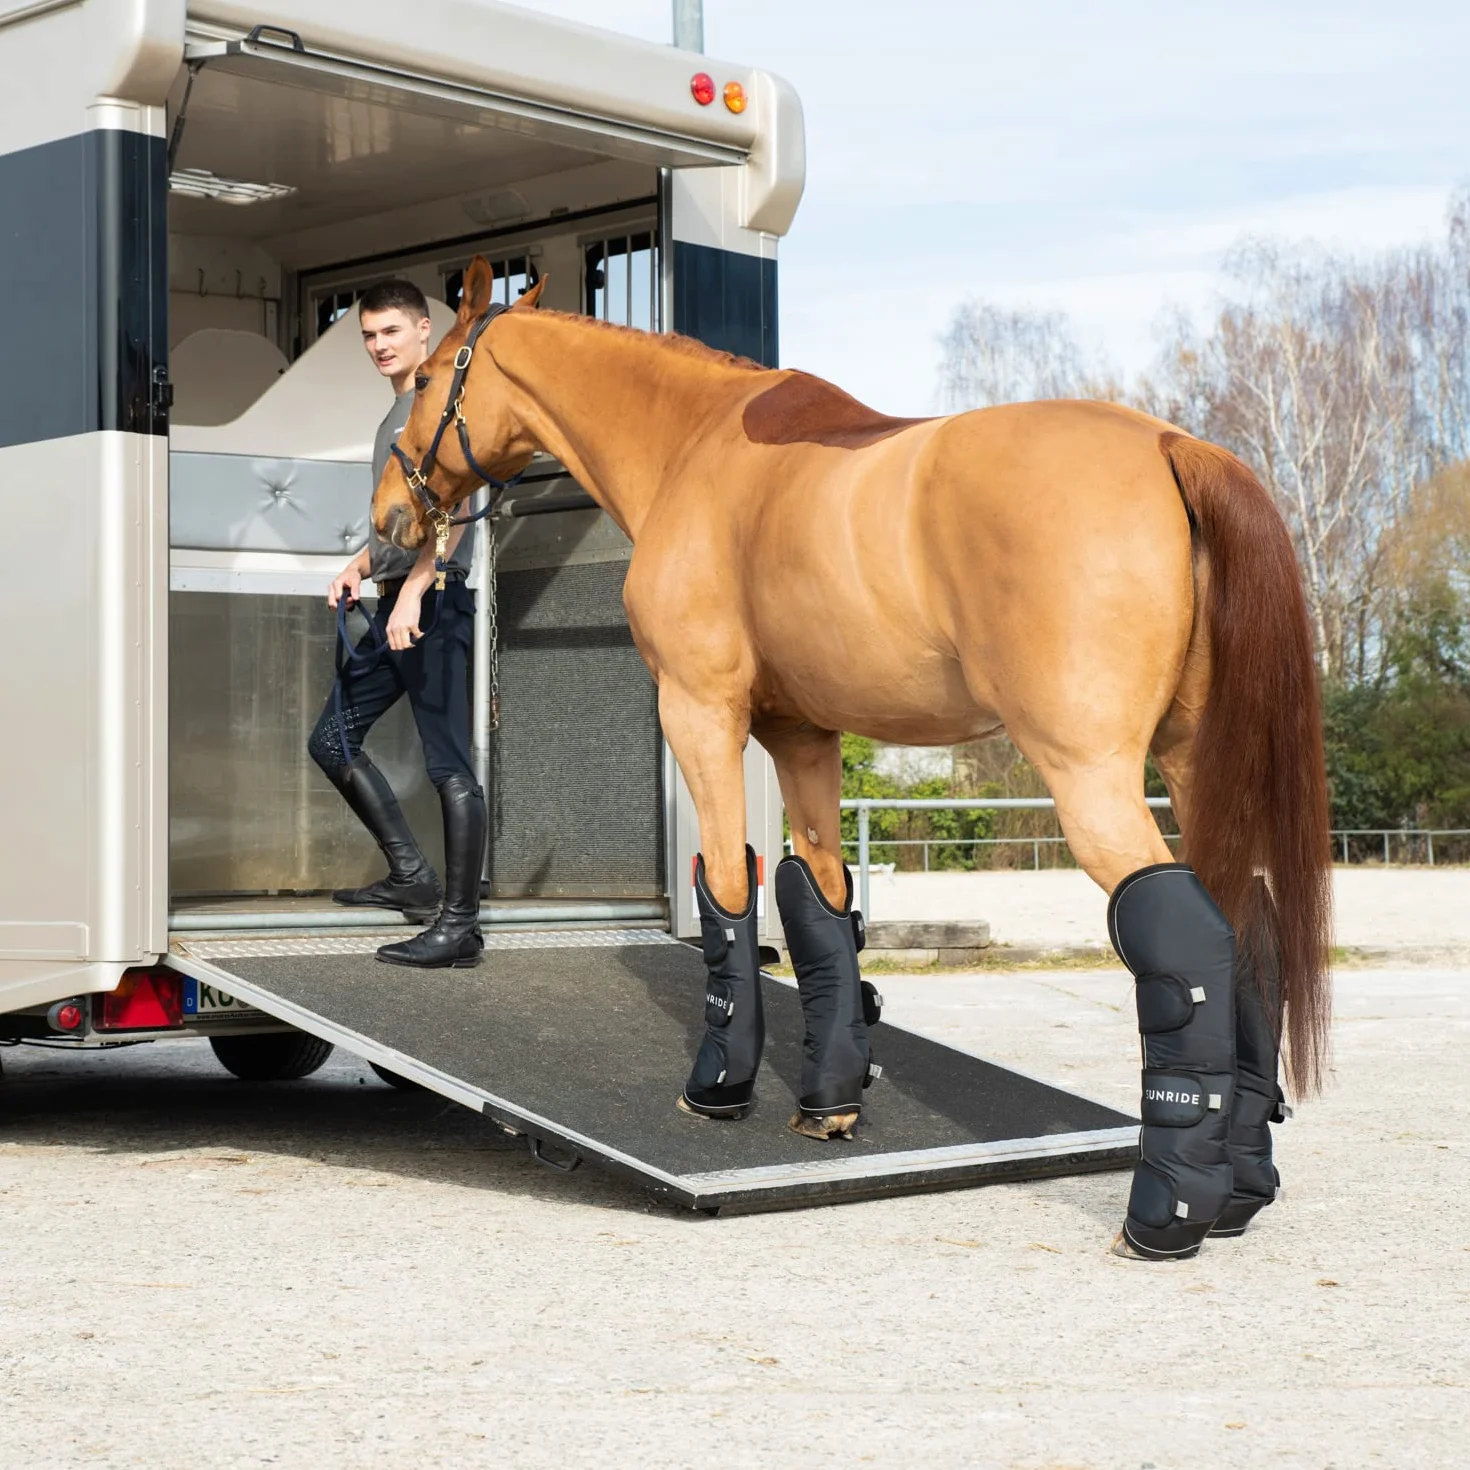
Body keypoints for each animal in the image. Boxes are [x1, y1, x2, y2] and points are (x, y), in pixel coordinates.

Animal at [373, 256, 1332, 1261]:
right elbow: (819, 906)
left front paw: (720, 1085)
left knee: (1182, 941)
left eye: (427, 380)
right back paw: (1239, 1192)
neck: (693, 450)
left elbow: (727, 887)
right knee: (1248, 930)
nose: (392, 518)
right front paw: (829, 1098)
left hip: (1091, 773)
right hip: (1192, 768)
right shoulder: (802, 735)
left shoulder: (701, 712)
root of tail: (1172, 447)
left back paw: (1164, 1215)